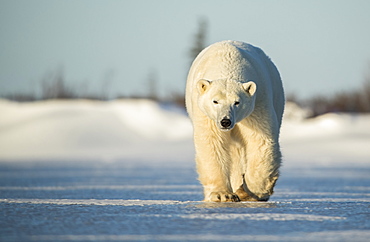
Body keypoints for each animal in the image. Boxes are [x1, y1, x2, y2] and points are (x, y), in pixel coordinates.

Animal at [186, 40, 284, 202]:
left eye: (237, 102)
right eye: (215, 101)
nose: (225, 121)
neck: (227, 62)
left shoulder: (258, 104)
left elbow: (259, 140)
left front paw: (253, 191)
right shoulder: (206, 115)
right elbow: (212, 143)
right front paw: (222, 194)